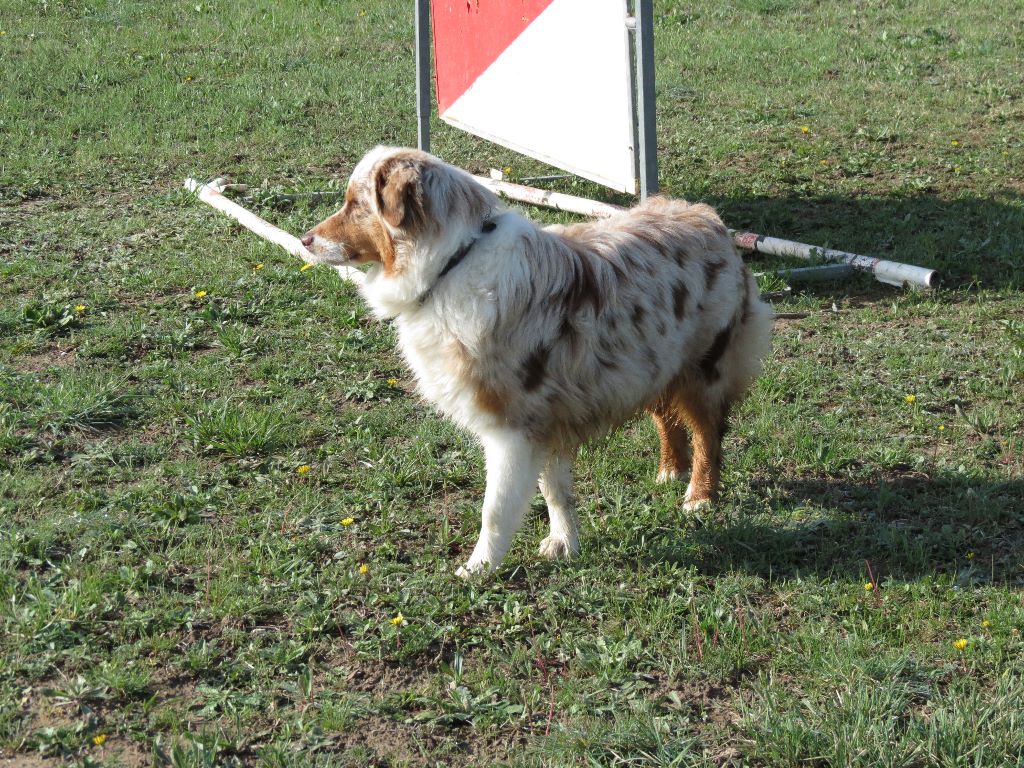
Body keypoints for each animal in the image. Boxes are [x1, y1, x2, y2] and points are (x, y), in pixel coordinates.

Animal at [299, 145, 770, 577]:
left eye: (354, 204)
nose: (304, 240)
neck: (450, 264)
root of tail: (707, 217)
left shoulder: (513, 428)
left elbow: (495, 510)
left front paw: (478, 569)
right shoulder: (547, 421)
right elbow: (554, 491)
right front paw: (564, 543)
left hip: (703, 367)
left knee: (709, 432)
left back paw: (699, 496)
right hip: (651, 362)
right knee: (666, 417)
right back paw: (670, 470)